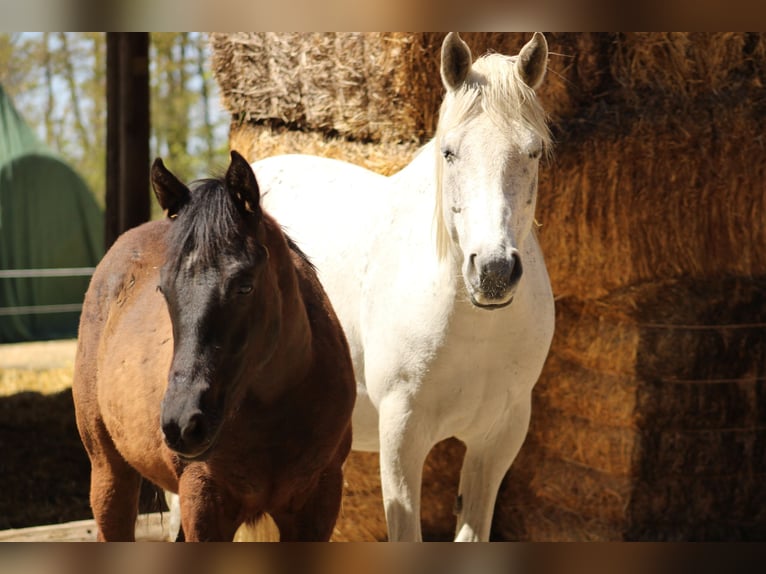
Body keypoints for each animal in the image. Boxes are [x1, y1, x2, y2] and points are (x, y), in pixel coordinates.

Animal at [72, 150, 356, 541]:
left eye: (244, 285)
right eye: (163, 288)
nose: (182, 422)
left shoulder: (318, 501)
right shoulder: (205, 501)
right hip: (110, 472)